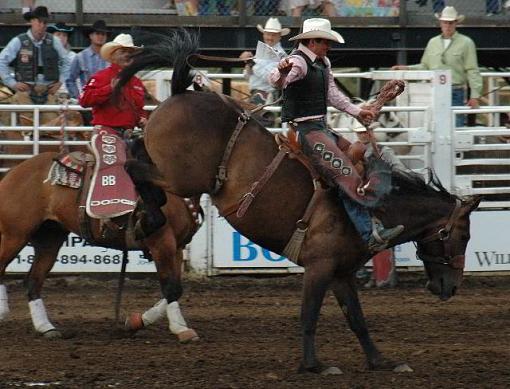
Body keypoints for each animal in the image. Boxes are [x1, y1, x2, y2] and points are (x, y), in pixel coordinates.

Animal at [0, 152, 203, 342]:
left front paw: (138, 321)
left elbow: (177, 288)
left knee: (33, 281)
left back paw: (46, 327)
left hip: (50, 238)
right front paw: (181, 329)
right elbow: (170, 288)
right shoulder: (162, 243)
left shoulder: (177, 247)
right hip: (14, 235)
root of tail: (13, 171)